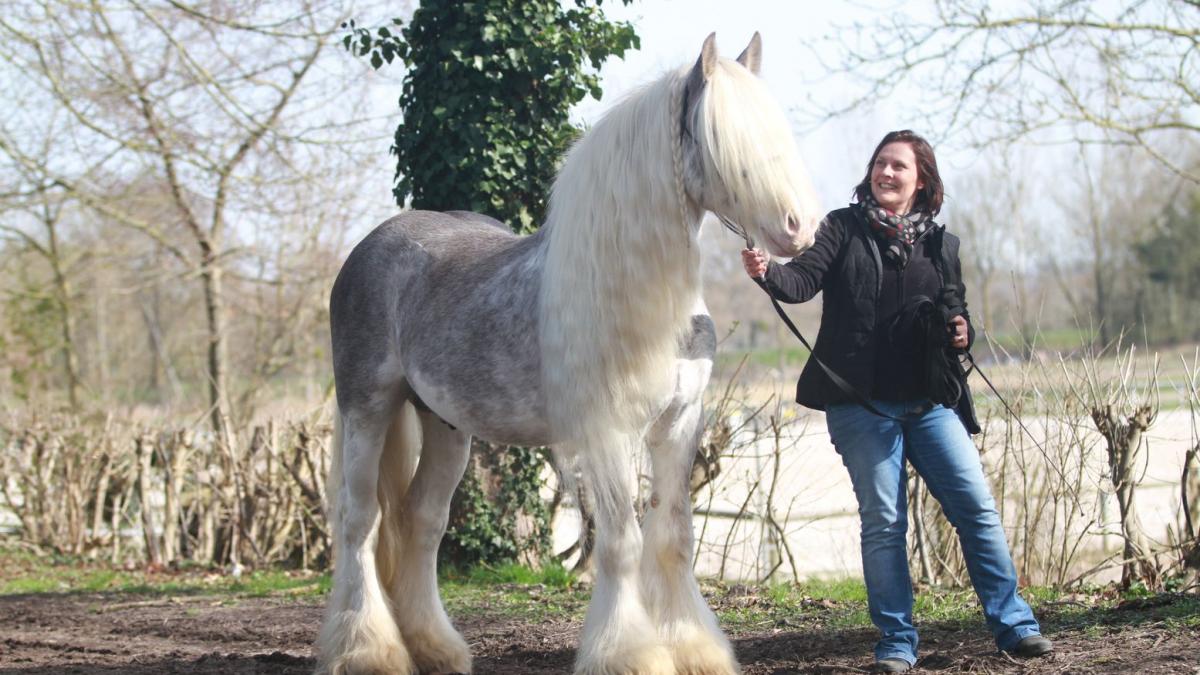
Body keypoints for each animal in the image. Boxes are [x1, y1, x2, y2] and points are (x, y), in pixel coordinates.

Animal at [319, 32, 825, 672]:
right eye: (727, 142)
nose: (801, 228)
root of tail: (368, 248)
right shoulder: (608, 431)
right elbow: (622, 543)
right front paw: (629, 654)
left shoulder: (679, 424)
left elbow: (673, 539)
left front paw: (694, 649)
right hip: (368, 408)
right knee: (360, 520)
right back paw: (366, 651)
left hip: (445, 426)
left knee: (422, 522)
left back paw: (436, 649)